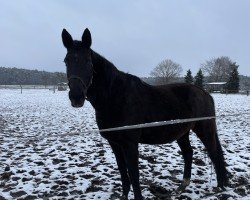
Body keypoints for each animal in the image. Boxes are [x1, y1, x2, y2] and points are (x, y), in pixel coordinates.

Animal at [61, 28, 229, 200]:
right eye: (66, 61)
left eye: (88, 61)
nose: (76, 97)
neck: (116, 96)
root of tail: (205, 93)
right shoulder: (115, 143)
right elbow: (123, 173)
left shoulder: (130, 144)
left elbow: (134, 175)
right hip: (182, 132)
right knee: (189, 153)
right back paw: (183, 186)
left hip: (204, 129)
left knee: (214, 153)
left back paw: (220, 187)